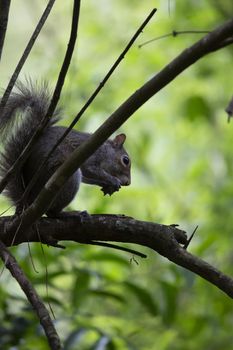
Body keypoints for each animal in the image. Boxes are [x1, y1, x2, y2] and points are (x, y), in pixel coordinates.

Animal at [0, 83, 131, 217]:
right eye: (125, 160)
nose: (128, 183)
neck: (104, 150)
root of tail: (29, 200)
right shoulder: (90, 155)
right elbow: (91, 169)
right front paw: (113, 180)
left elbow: (88, 177)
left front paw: (105, 183)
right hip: (65, 179)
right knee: (52, 212)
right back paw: (71, 214)